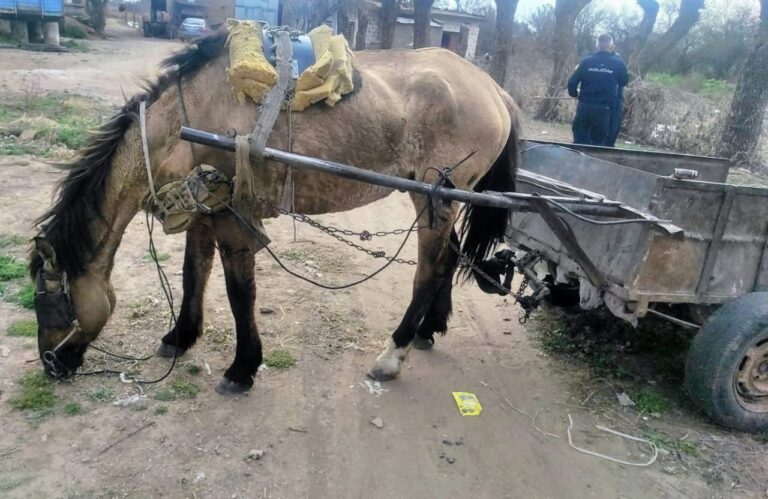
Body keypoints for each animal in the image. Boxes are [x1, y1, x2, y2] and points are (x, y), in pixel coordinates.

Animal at [29, 31, 522, 394]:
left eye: (52, 305)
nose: (52, 365)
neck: (185, 121)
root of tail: (494, 88)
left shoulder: (232, 216)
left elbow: (238, 292)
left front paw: (242, 368)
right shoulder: (203, 213)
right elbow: (193, 275)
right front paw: (180, 337)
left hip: (435, 197)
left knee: (429, 269)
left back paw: (392, 354)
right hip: (440, 199)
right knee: (448, 258)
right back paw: (427, 329)